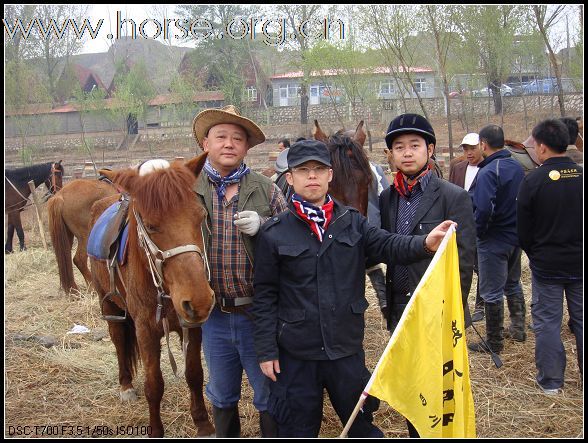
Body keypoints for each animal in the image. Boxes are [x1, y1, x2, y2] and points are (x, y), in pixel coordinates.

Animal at [87, 153, 216, 438]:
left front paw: (203, 424)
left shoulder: (192, 326)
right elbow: (154, 385)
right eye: (150, 225)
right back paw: (125, 386)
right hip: (109, 305)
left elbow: (195, 374)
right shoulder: (146, 330)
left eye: (201, 216)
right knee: (118, 339)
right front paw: (156, 429)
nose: (200, 300)